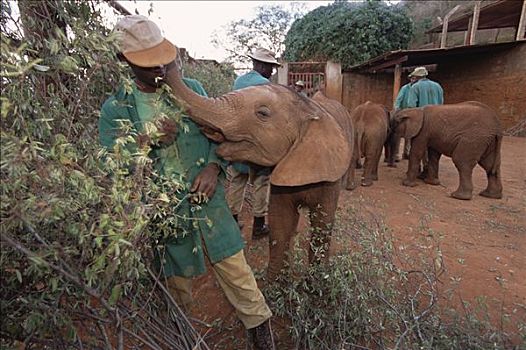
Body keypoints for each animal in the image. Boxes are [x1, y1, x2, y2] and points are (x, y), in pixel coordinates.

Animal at [165, 65, 354, 278]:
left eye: (262, 113)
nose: (164, 66)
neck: (310, 109)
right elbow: (280, 222)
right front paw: (275, 283)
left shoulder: (330, 174)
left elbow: (322, 225)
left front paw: (318, 281)